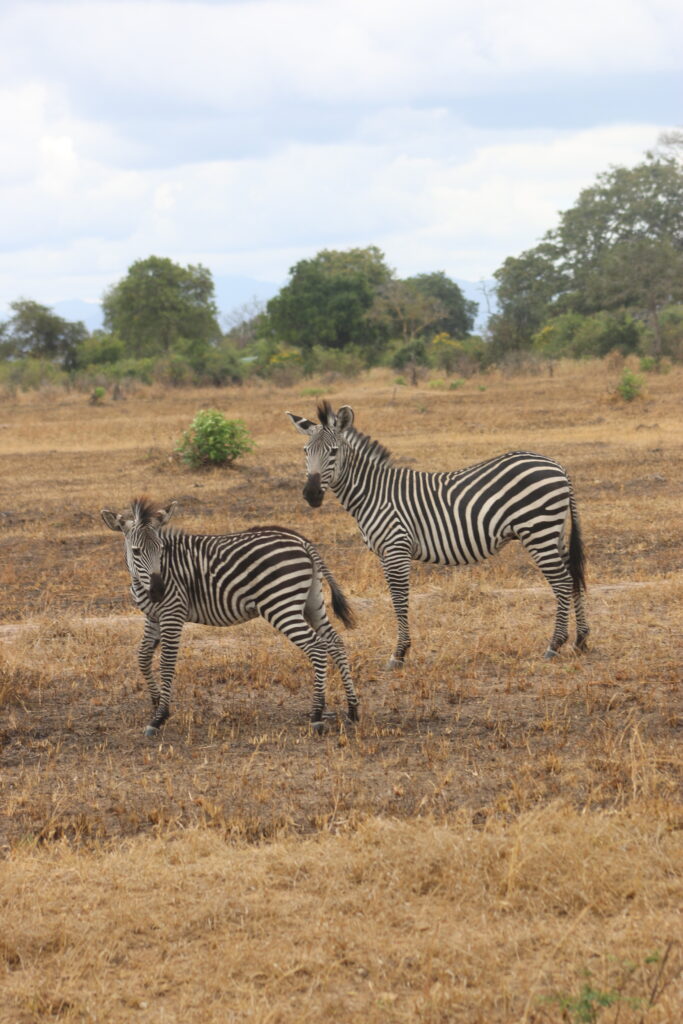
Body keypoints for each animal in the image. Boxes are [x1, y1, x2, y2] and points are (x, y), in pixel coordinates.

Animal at [101, 497, 359, 736]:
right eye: (136, 551)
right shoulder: (153, 616)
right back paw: (352, 709)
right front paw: (155, 702)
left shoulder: (172, 613)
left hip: (280, 604)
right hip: (312, 602)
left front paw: (159, 717)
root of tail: (302, 541)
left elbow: (166, 663)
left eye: (162, 549)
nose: (158, 591)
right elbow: (143, 657)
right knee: (334, 642)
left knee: (317, 646)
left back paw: (316, 715)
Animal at [286, 401, 589, 668]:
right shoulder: (388, 553)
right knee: (573, 577)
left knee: (562, 582)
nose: (311, 495)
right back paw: (581, 641)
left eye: (334, 452)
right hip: (554, 531)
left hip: (538, 530)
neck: (373, 493)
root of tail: (557, 465)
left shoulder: (395, 549)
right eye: (305, 451)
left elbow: (399, 599)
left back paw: (554, 645)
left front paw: (399, 654)